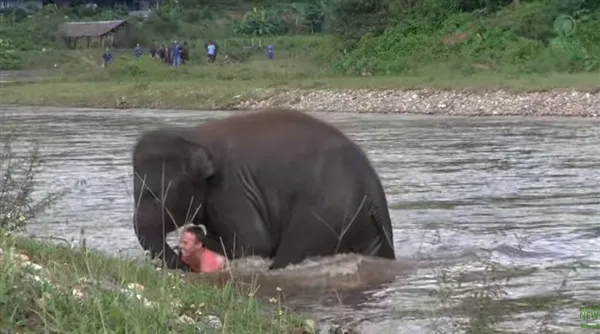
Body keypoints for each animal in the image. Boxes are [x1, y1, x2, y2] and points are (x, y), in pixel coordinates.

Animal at [134, 109, 398, 272]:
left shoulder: (232, 191)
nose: (183, 261)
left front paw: (204, 239)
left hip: (325, 216)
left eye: (156, 196)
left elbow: (254, 242)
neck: (191, 135)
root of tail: (372, 190)